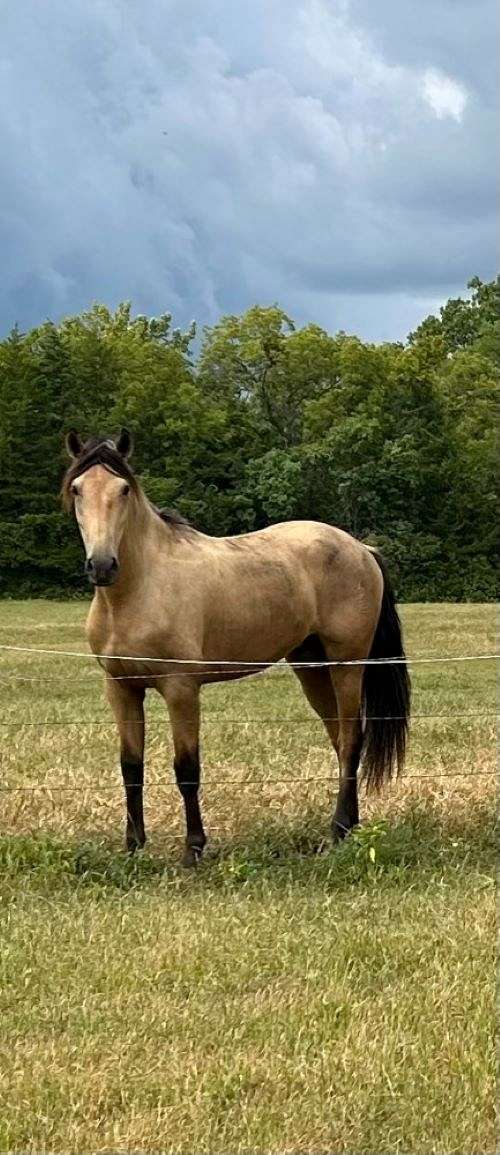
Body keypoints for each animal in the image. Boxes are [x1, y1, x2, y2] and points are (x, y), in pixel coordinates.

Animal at [62, 428, 410, 865]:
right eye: (77, 489)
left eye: (123, 489)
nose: (102, 565)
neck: (141, 589)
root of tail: (362, 549)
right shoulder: (121, 689)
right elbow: (131, 767)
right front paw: (133, 847)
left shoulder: (181, 689)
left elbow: (187, 769)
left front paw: (193, 849)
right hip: (311, 668)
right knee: (339, 740)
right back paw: (350, 826)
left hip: (347, 665)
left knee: (351, 740)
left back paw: (338, 829)